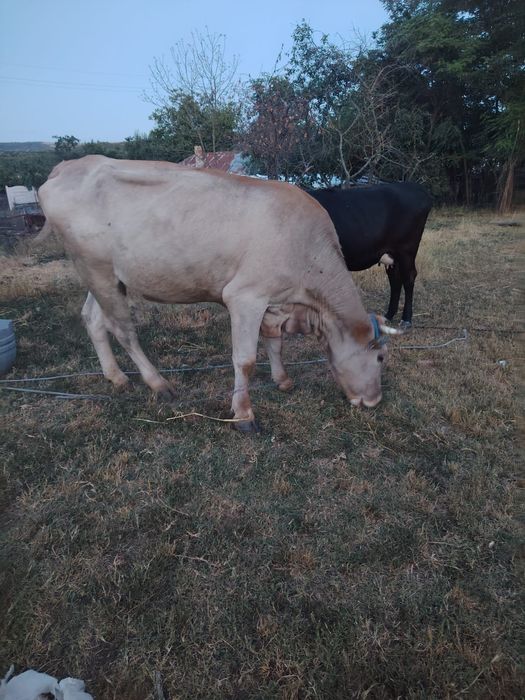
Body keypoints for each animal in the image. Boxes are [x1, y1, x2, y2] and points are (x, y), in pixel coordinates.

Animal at [38, 156, 400, 432]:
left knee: (93, 319)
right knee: (122, 329)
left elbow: (274, 341)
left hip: (107, 276)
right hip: (97, 269)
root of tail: (68, 167)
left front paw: (282, 380)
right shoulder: (244, 297)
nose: (374, 401)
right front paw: (243, 414)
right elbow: (245, 359)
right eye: (380, 357)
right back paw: (158, 384)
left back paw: (116, 377)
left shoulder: (274, 302)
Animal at [307, 183, 433, 328]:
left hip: (406, 250)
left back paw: (406, 319)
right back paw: (388, 315)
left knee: (409, 278)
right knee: (395, 279)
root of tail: (414, 187)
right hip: (392, 255)